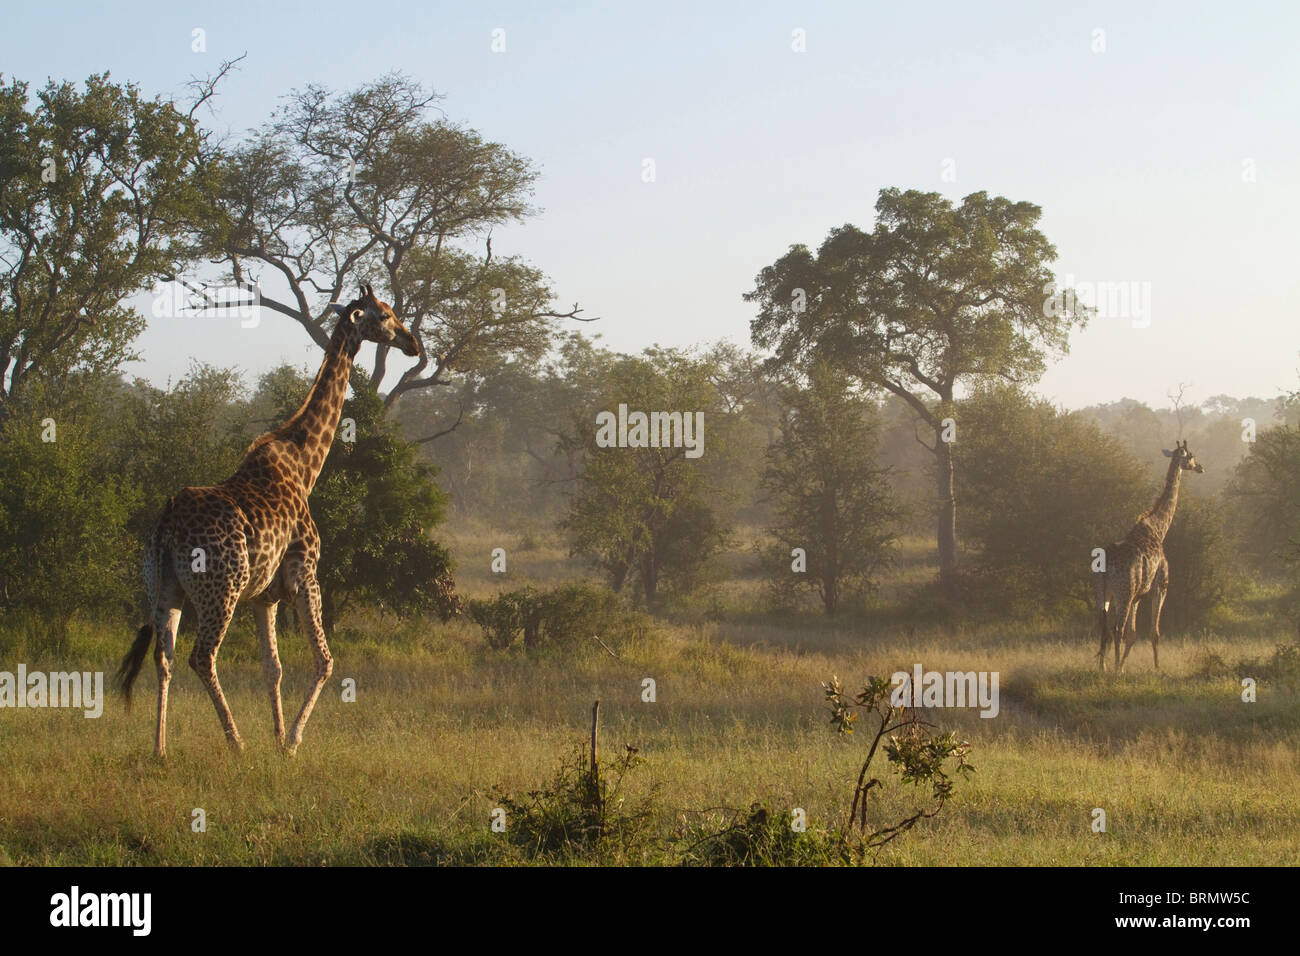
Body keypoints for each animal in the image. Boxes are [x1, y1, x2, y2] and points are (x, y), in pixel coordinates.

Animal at [117, 283, 421, 754]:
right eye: (385, 314)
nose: (412, 343)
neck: (305, 465)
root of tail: (166, 525)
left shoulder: (265, 596)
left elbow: (272, 667)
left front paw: (277, 736)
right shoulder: (305, 575)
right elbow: (325, 661)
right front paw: (292, 740)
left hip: (163, 587)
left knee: (163, 658)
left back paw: (160, 748)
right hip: (220, 589)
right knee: (202, 657)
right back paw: (236, 742)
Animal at [1092, 439, 1201, 671]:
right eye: (1190, 455)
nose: (1200, 467)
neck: (1159, 528)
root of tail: (1105, 565)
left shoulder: (1138, 596)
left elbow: (1133, 635)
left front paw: (1123, 666)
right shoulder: (1160, 588)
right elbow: (1153, 633)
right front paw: (1157, 668)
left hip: (1103, 592)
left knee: (1103, 626)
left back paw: (1103, 667)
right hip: (1123, 592)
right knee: (1116, 628)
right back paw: (1114, 669)